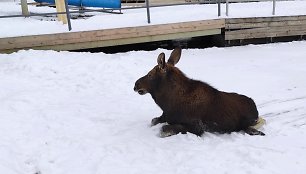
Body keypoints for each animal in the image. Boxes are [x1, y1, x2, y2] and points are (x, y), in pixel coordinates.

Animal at [134, 47, 266, 137]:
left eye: (150, 75)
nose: (135, 85)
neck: (167, 103)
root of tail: (255, 109)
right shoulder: (165, 115)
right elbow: (154, 121)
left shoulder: (197, 126)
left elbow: (164, 129)